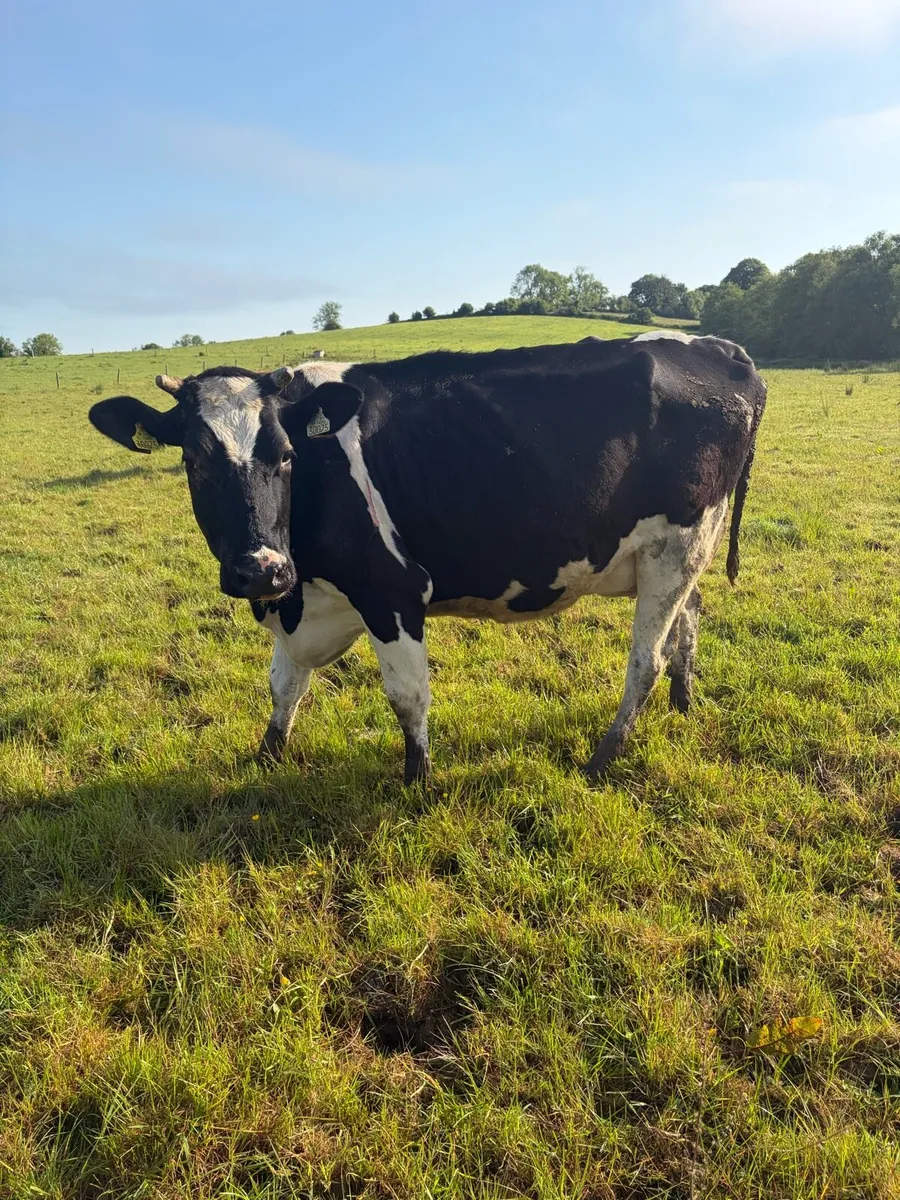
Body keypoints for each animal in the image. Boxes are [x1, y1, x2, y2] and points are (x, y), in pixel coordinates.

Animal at [88, 333, 766, 783]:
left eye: (284, 454)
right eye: (193, 461)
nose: (260, 569)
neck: (297, 595)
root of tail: (725, 350)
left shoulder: (392, 591)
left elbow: (408, 694)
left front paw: (418, 779)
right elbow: (284, 686)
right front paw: (267, 756)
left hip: (677, 545)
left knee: (645, 660)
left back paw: (604, 755)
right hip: (674, 556)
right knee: (689, 617)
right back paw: (683, 703)